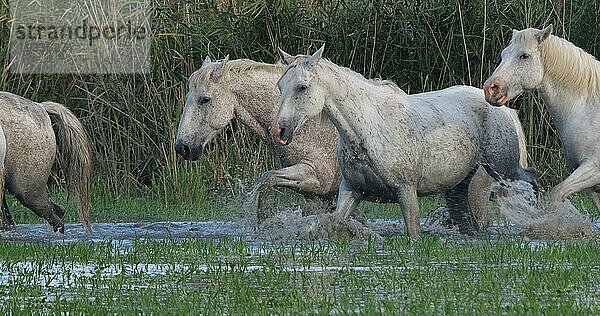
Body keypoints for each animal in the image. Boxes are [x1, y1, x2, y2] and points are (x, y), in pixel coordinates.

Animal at [270, 45, 536, 236]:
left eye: (302, 87)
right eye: (280, 86)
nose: (278, 131)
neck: (365, 131)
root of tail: (503, 107)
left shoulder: (406, 191)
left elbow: (413, 234)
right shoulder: (351, 190)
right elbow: (336, 222)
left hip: (504, 169)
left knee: (529, 182)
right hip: (460, 183)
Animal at [482, 24, 600, 211]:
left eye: (524, 56)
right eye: (503, 54)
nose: (491, 89)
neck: (587, 110)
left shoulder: (593, 168)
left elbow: (556, 193)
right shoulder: (591, 185)